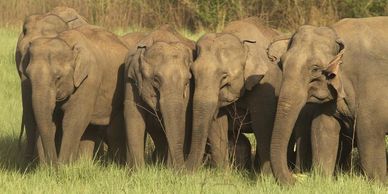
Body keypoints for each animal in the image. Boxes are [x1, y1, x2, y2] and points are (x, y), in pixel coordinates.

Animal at [22, 23, 128, 164]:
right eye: (28, 76)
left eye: (58, 77)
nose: (53, 164)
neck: (67, 42)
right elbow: (51, 120)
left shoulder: (89, 80)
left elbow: (73, 120)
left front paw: (63, 166)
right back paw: (85, 163)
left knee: (113, 131)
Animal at [124, 24, 196, 168]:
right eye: (156, 79)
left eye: (187, 81)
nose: (181, 169)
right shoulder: (131, 79)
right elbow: (133, 116)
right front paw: (137, 170)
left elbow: (181, 118)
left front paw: (169, 169)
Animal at [266, 16, 388, 183]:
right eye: (281, 64)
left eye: (315, 69)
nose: (296, 178)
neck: (336, 33)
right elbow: (322, 129)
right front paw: (323, 180)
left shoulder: (371, 82)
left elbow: (369, 135)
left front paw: (379, 183)